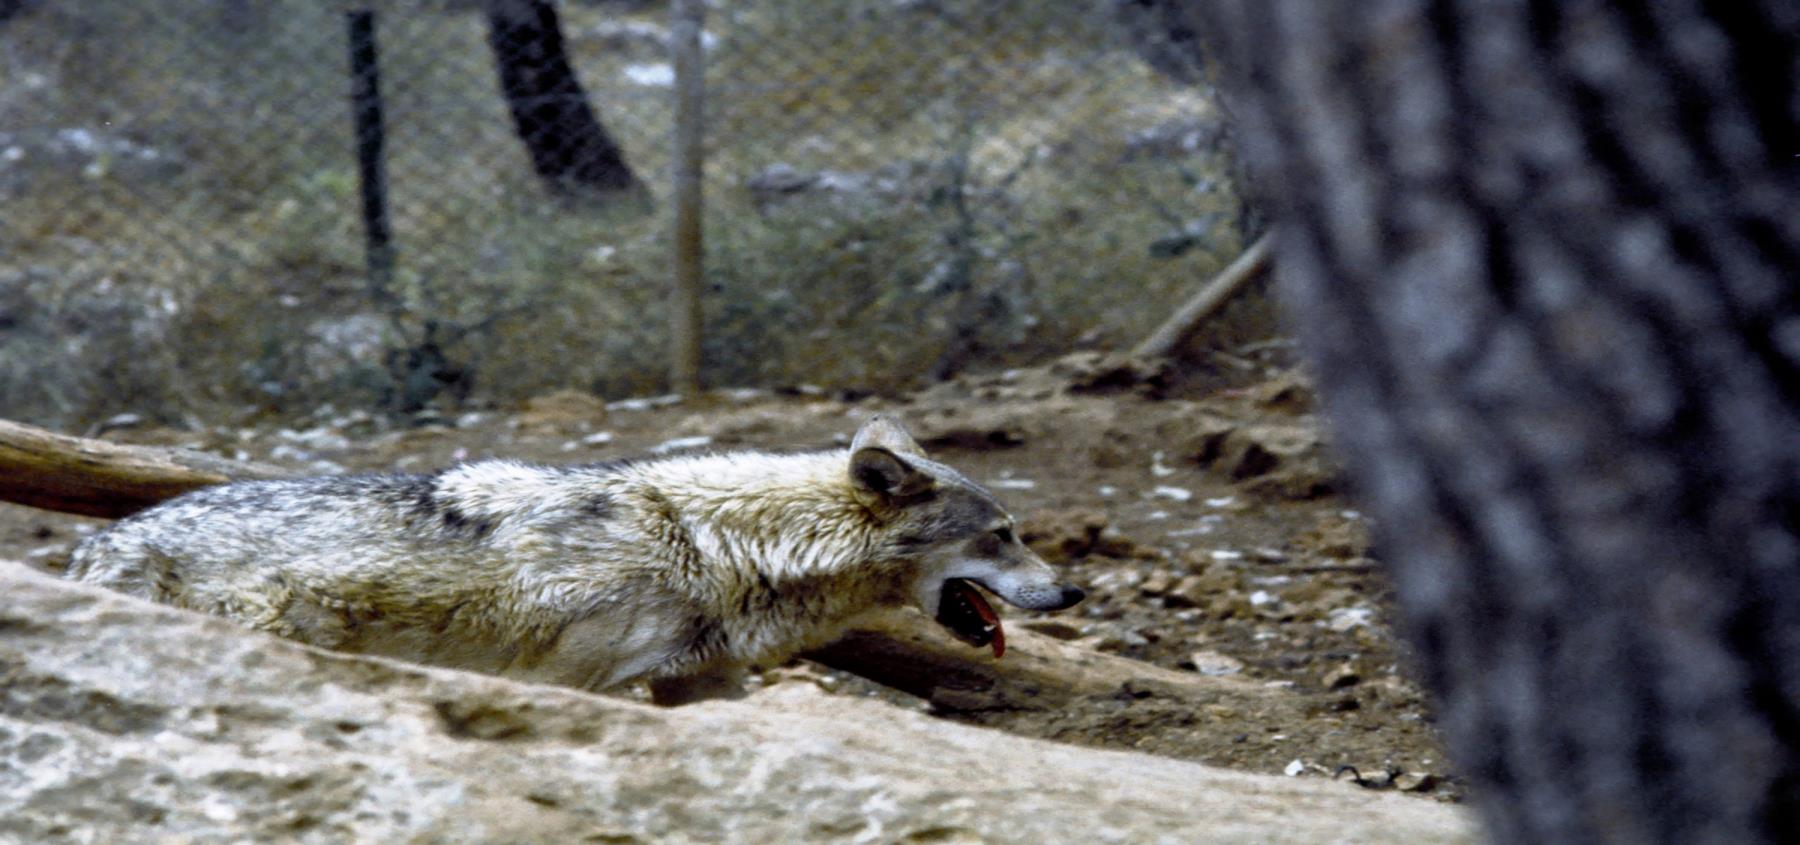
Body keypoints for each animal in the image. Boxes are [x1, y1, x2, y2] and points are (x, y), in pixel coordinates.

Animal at [65, 416, 1084, 704]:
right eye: (1002, 534)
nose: (1071, 590)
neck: (711, 546)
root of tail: (93, 548)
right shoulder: (572, 683)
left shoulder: (700, 686)